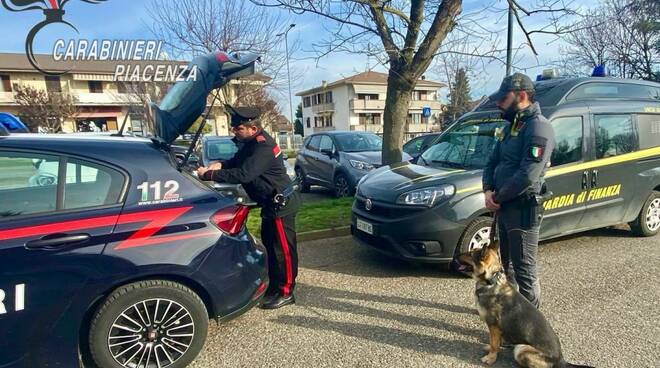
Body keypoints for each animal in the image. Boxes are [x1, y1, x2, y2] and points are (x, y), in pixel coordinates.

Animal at [458, 216, 592, 368]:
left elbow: (494, 343)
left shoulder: (493, 326)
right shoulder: (497, 329)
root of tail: (561, 360)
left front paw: (491, 357)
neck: (491, 281)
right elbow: (495, 342)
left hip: (521, 348)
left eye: (470, 254)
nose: (456, 255)